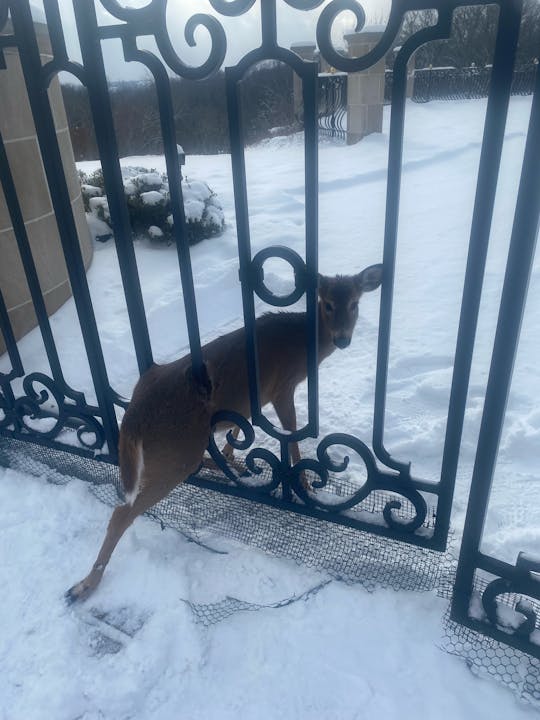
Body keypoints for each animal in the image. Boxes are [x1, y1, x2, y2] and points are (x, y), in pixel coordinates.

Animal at [66, 264, 382, 603]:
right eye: (329, 304)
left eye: (355, 303)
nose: (343, 339)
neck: (302, 341)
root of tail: (133, 418)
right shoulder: (281, 388)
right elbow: (292, 431)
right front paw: (305, 482)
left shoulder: (249, 400)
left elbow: (237, 428)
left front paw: (235, 460)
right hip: (174, 455)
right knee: (121, 513)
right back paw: (84, 585)